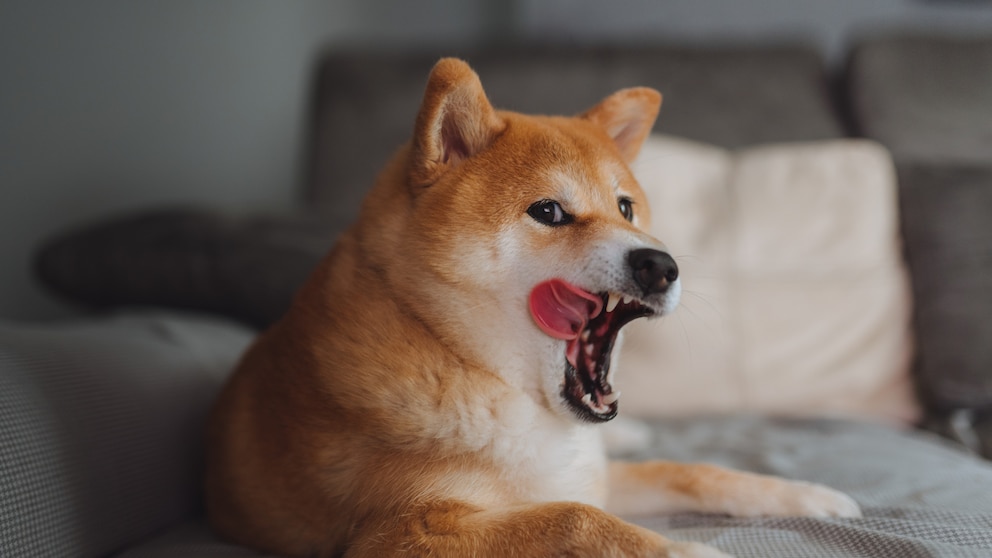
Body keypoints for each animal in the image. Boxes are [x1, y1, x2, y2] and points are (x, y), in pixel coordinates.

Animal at [203, 58, 860, 558]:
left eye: (625, 208)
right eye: (549, 212)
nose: (661, 264)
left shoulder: (586, 473)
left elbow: (690, 471)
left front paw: (807, 495)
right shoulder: (402, 533)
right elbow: (573, 517)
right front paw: (687, 551)